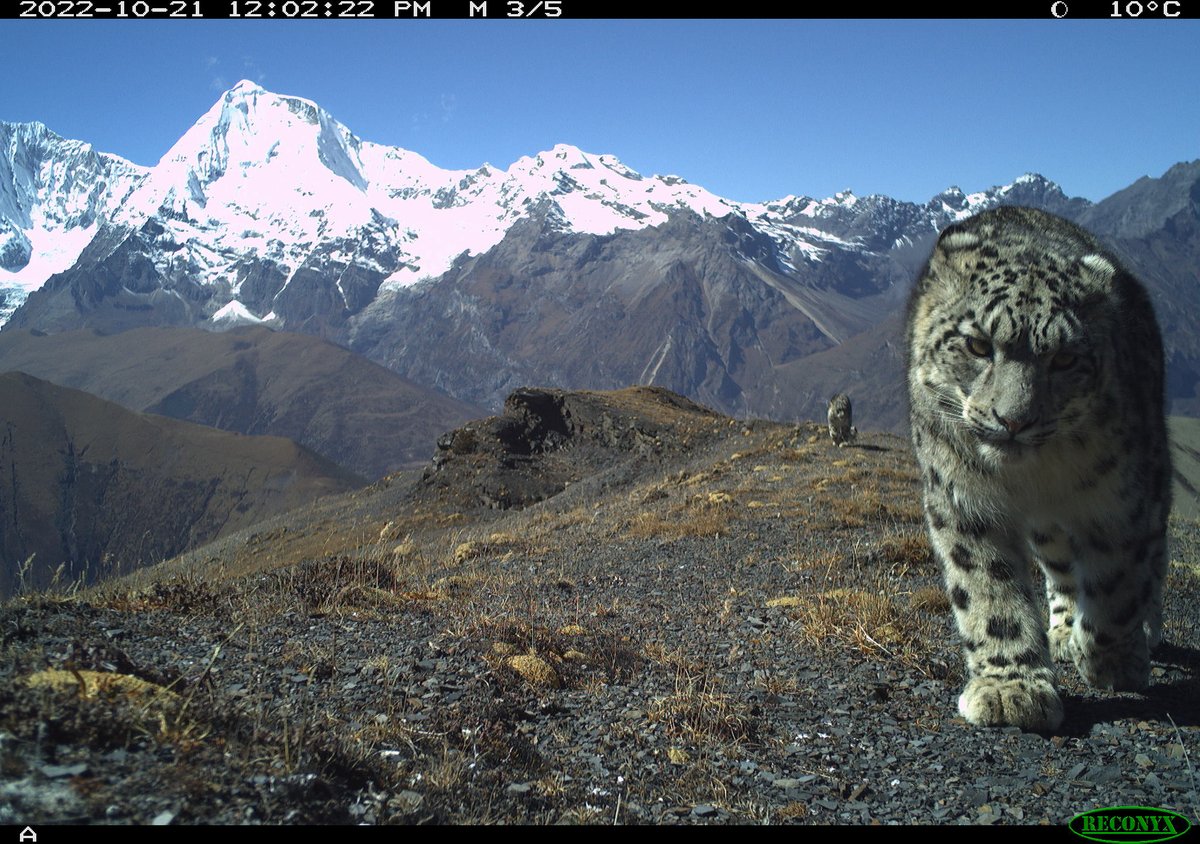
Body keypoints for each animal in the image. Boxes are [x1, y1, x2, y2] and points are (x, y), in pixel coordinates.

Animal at [905, 205, 1171, 731]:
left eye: (1065, 358)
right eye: (977, 345)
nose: (1013, 420)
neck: (1035, 477)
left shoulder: (1121, 503)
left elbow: (1118, 584)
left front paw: (1110, 660)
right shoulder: (964, 500)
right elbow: (988, 589)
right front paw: (1011, 689)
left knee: (1151, 560)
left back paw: (1137, 634)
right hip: (1049, 531)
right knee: (1062, 569)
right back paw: (1064, 630)